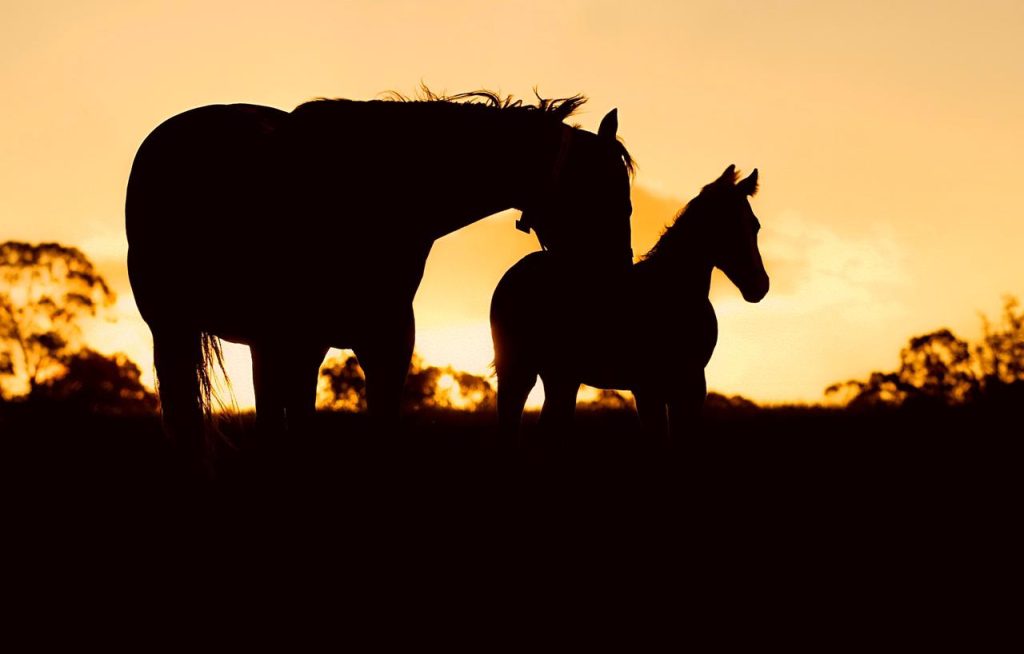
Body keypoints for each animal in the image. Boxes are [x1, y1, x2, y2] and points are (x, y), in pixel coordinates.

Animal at [126, 91, 630, 466]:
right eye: (611, 200)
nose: (615, 280)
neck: (377, 190)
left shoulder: (387, 341)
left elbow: (381, 433)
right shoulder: (302, 341)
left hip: (260, 344)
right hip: (176, 331)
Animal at [489, 165, 770, 446]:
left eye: (755, 225)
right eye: (727, 225)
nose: (760, 285)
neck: (672, 292)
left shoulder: (681, 387)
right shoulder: (655, 387)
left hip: (560, 376)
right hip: (520, 370)